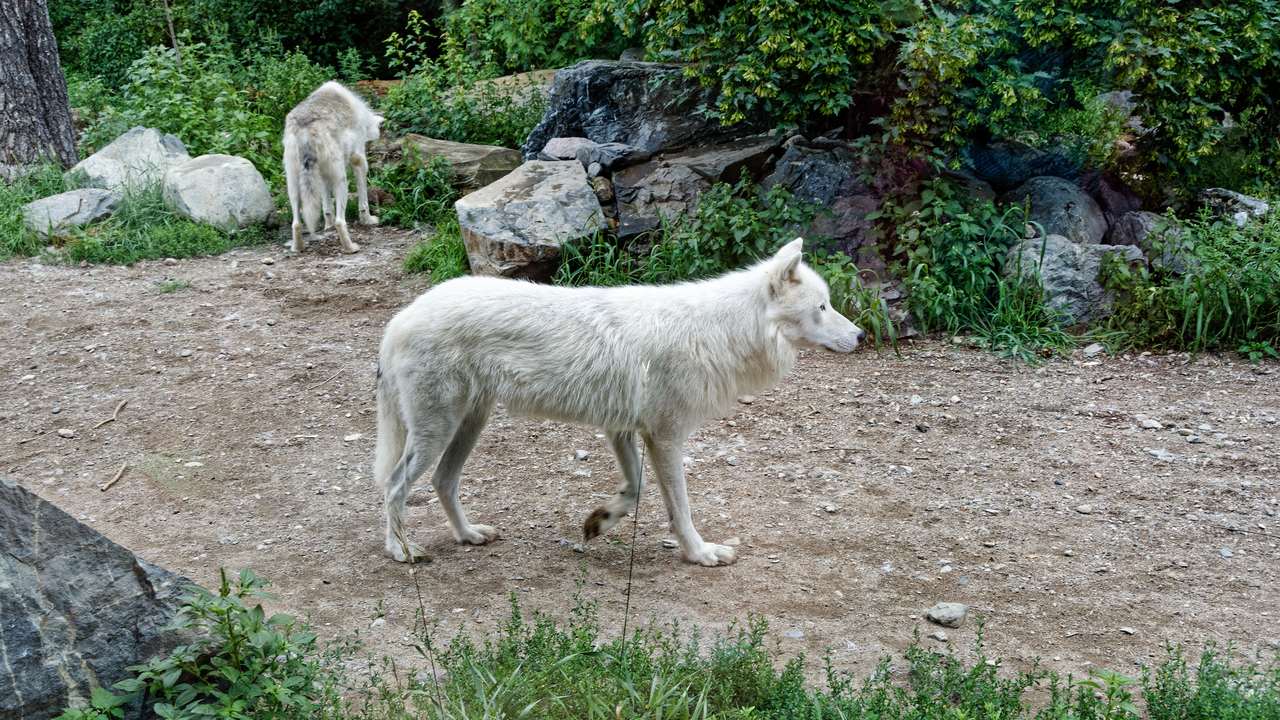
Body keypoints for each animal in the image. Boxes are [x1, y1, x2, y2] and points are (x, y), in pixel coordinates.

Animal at [282, 81, 383, 254]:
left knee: (296, 223)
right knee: (340, 222)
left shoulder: (322, 175)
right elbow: (363, 202)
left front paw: (327, 225)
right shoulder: (358, 160)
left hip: (294, 185)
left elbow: (326, 206)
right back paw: (351, 248)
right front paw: (368, 221)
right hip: (341, 181)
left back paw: (298, 248)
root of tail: (306, 127)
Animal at [373, 239, 865, 566]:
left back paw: (469, 535)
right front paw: (701, 553)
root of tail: (399, 317)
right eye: (823, 307)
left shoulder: (624, 430)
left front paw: (600, 520)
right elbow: (680, 509)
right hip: (439, 429)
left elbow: (636, 490)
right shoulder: (664, 436)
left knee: (442, 481)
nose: (861, 335)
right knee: (395, 486)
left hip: (467, 424)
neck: (720, 330)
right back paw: (401, 550)